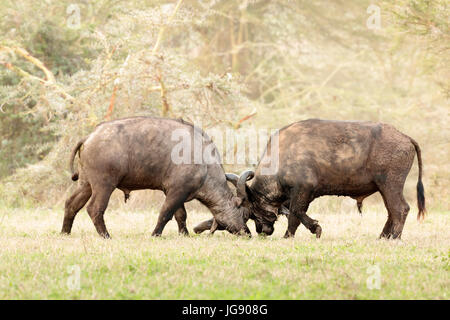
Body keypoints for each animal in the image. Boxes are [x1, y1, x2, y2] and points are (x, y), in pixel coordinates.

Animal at [59, 117, 250, 238]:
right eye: (244, 214)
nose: (247, 233)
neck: (204, 163)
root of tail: (89, 136)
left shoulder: (175, 193)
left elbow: (181, 215)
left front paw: (184, 234)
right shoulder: (176, 192)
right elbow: (165, 214)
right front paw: (155, 234)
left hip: (85, 184)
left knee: (71, 204)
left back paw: (65, 232)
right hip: (104, 185)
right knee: (94, 208)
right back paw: (106, 235)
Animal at [193, 119, 426, 239]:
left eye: (252, 209)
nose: (263, 231)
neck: (283, 156)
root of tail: (405, 138)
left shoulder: (302, 190)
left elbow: (295, 214)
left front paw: (292, 235)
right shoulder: (302, 194)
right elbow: (297, 213)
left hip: (390, 185)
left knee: (400, 209)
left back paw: (394, 238)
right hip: (384, 188)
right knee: (391, 211)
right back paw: (383, 236)